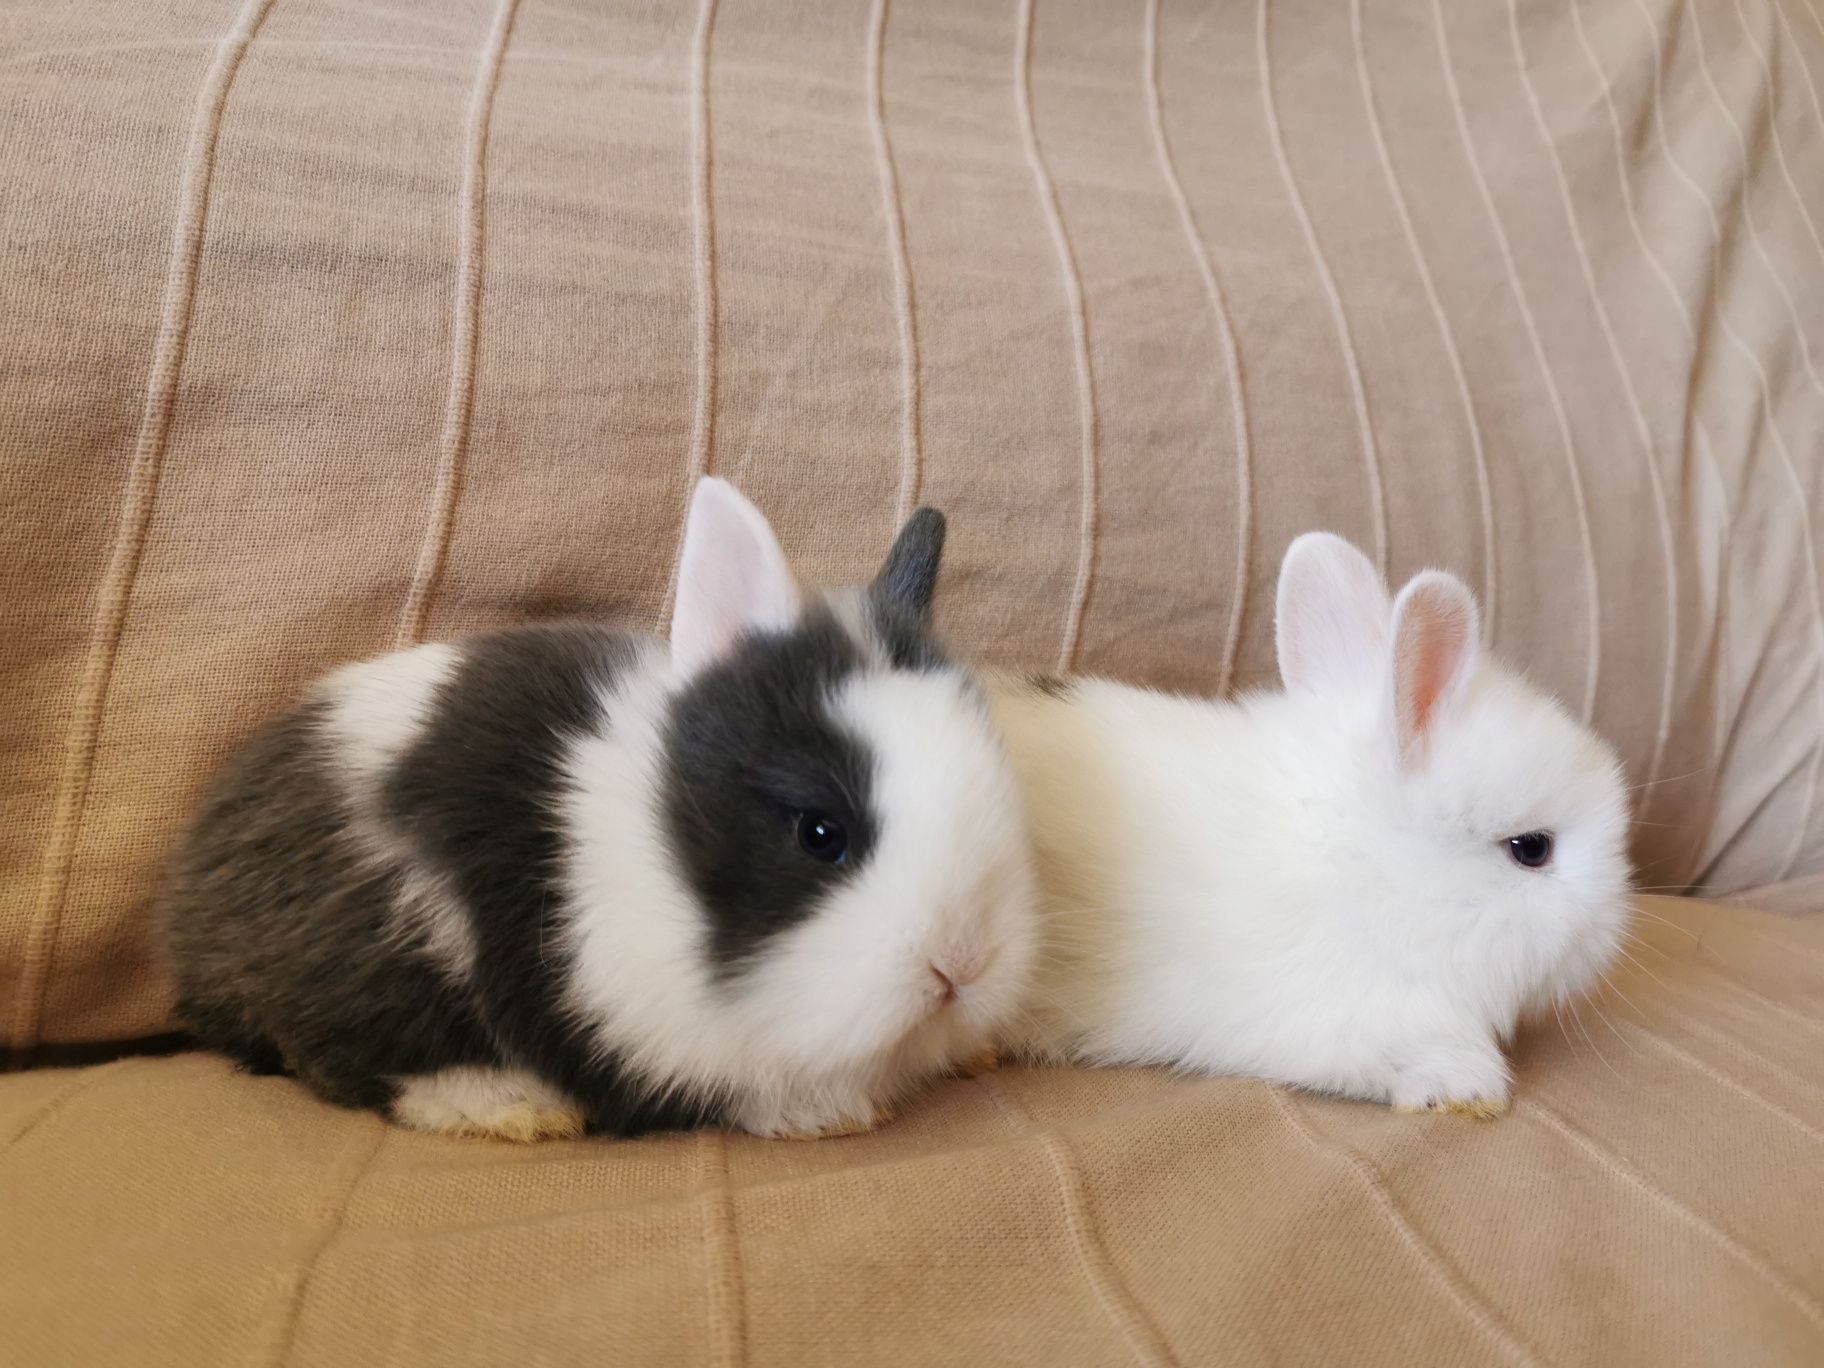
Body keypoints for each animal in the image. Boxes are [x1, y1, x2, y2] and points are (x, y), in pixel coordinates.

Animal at [164, 477, 1043, 1138]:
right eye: (820, 833)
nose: (963, 966)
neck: (653, 849)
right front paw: (827, 1113)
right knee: (351, 1058)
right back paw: (510, 1105)